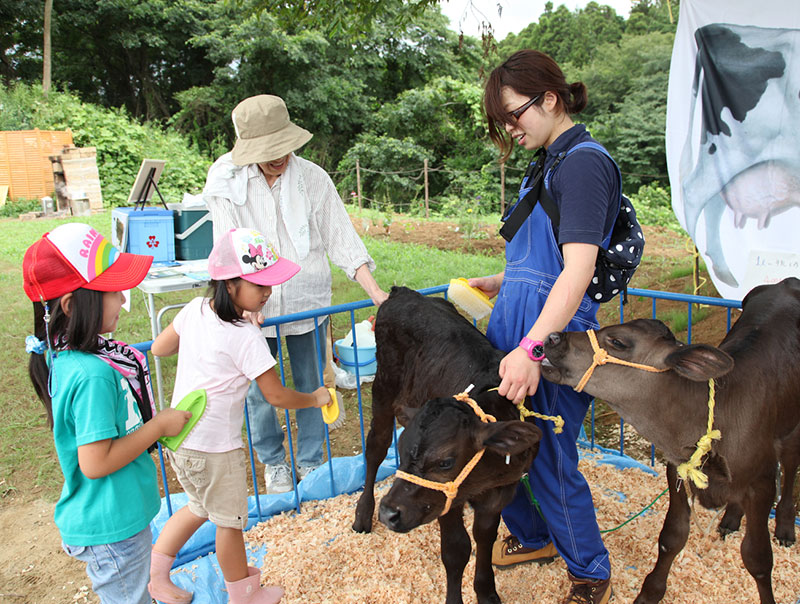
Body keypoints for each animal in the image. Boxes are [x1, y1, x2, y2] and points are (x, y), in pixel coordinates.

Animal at [352, 286, 542, 604]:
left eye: (445, 462)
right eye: (402, 452)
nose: (389, 513)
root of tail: (403, 292)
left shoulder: (499, 492)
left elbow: (484, 538)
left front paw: (486, 591)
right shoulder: (448, 501)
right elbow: (456, 550)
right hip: (383, 389)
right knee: (375, 448)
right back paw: (363, 514)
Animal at [539, 277, 800, 604]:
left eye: (618, 342)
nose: (552, 336)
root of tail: (787, 281)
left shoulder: (762, 481)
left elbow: (758, 557)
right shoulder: (677, 468)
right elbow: (672, 538)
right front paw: (649, 593)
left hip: (791, 427)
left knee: (790, 464)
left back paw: (786, 527)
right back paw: (730, 518)